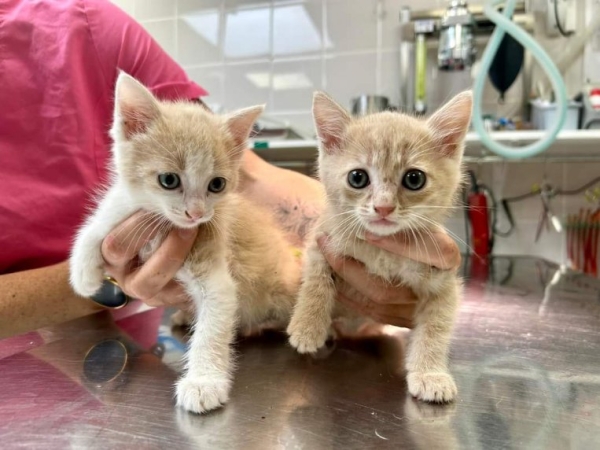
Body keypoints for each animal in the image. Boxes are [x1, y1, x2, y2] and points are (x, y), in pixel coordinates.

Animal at [71, 72, 302, 414]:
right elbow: (100, 224)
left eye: (217, 184)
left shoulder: (216, 271)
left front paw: (204, 381)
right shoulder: (127, 207)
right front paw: (83, 273)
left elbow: (213, 326)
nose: (196, 214)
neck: (163, 225)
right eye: (169, 180)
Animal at [288, 90, 474, 404]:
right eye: (357, 177)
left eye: (414, 178)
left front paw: (430, 374)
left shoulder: (443, 282)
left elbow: (435, 328)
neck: (382, 250)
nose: (383, 207)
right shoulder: (321, 239)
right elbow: (317, 279)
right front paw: (307, 326)